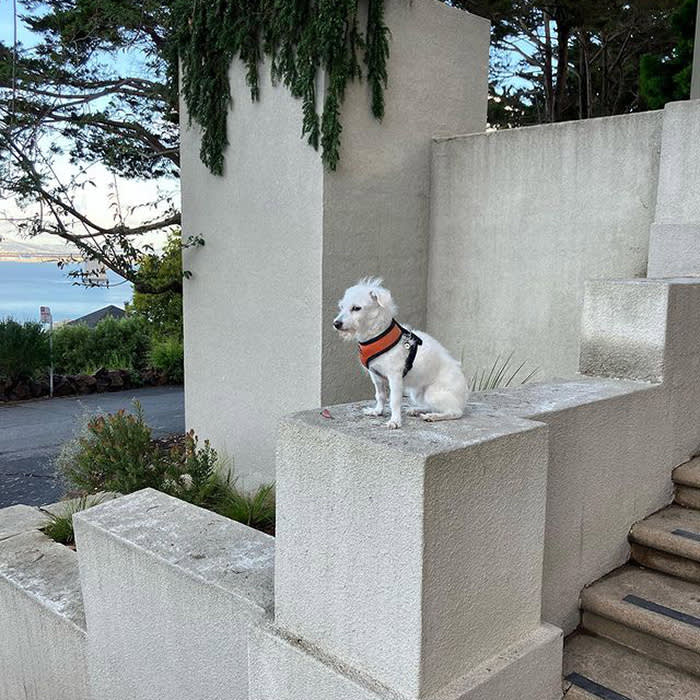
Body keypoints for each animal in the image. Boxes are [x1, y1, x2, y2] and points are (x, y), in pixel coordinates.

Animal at [332, 278, 468, 430]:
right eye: (341, 306)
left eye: (356, 308)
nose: (336, 323)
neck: (376, 336)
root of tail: (464, 394)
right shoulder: (376, 376)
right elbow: (380, 395)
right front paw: (377, 411)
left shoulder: (395, 377)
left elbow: (394, 401)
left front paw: (395, 421)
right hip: (417, 393)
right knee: (432, 406)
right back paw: (418, 410)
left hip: (433, 393)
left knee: (455, 412)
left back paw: (433, 416)